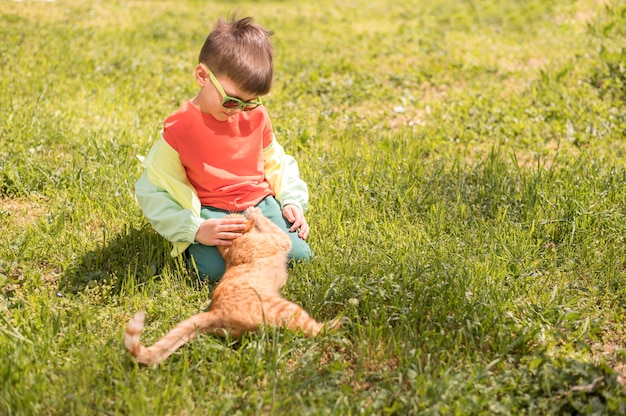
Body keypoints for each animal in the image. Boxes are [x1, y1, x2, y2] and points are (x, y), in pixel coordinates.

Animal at [124, 206, 342, 366]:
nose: (234, 210)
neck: (232, 248)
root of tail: (216, 311)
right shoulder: (281, 240)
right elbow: (270, 225)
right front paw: (254, 211)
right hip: (289, 310)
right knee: (316, 330)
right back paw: (338, 321)